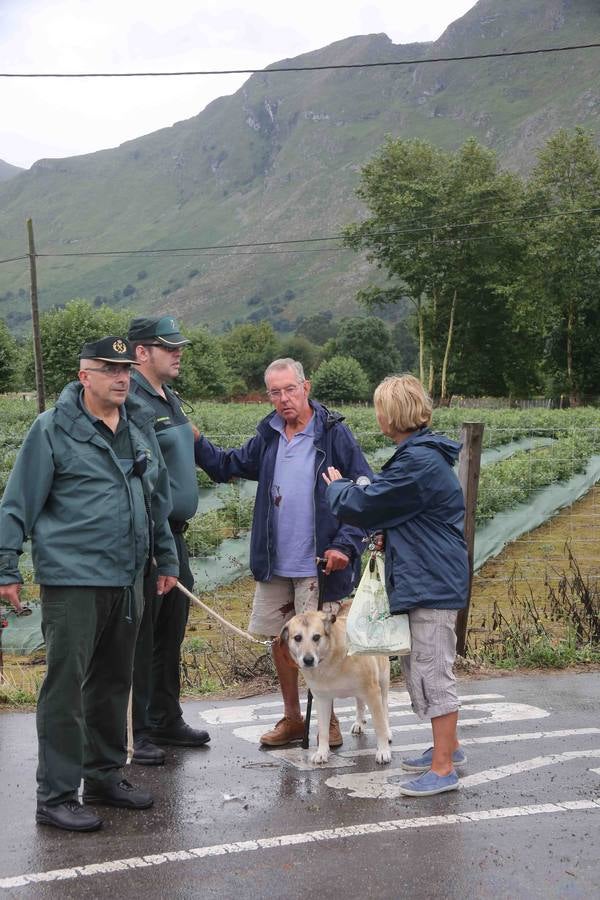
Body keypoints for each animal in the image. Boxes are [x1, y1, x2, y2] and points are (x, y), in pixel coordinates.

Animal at [282, 604, 394, 768]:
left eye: (316, 637)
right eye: (297, 638)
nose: (308, 660)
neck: (329, 657)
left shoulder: (372, 692)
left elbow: (379, 726)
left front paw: (383, 751)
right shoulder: (322, 699)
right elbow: (323, 730)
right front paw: (322, 752)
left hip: (383, 680)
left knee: (384, 707)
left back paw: (388, 731)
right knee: (360, 702)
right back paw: (359, 723)